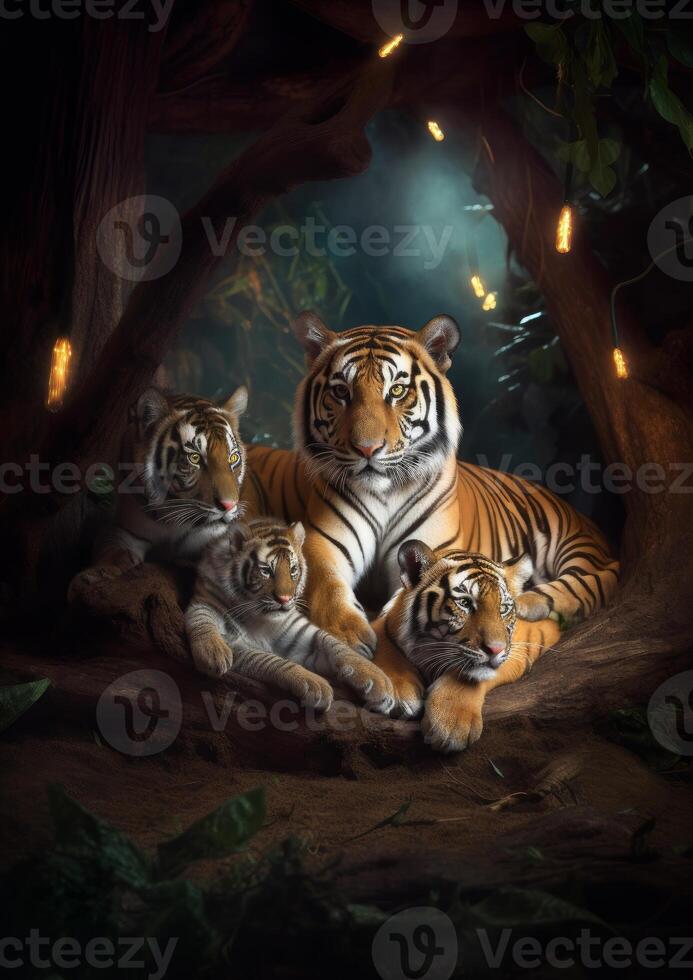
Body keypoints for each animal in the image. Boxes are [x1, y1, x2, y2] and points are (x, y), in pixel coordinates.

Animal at [67, 382, 250, 596]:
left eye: (233, 458)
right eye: (195, 458)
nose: (229, 505)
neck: (172, 516)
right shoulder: (122, 530)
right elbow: (112, 553)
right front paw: (94, 577)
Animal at [370, 540, 560, 748]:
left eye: (503, 608)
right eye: (465, 603)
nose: (496, 649)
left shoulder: (517, 649)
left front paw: (451, 724)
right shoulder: (382, 623)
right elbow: (383, 646)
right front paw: (397, 694)